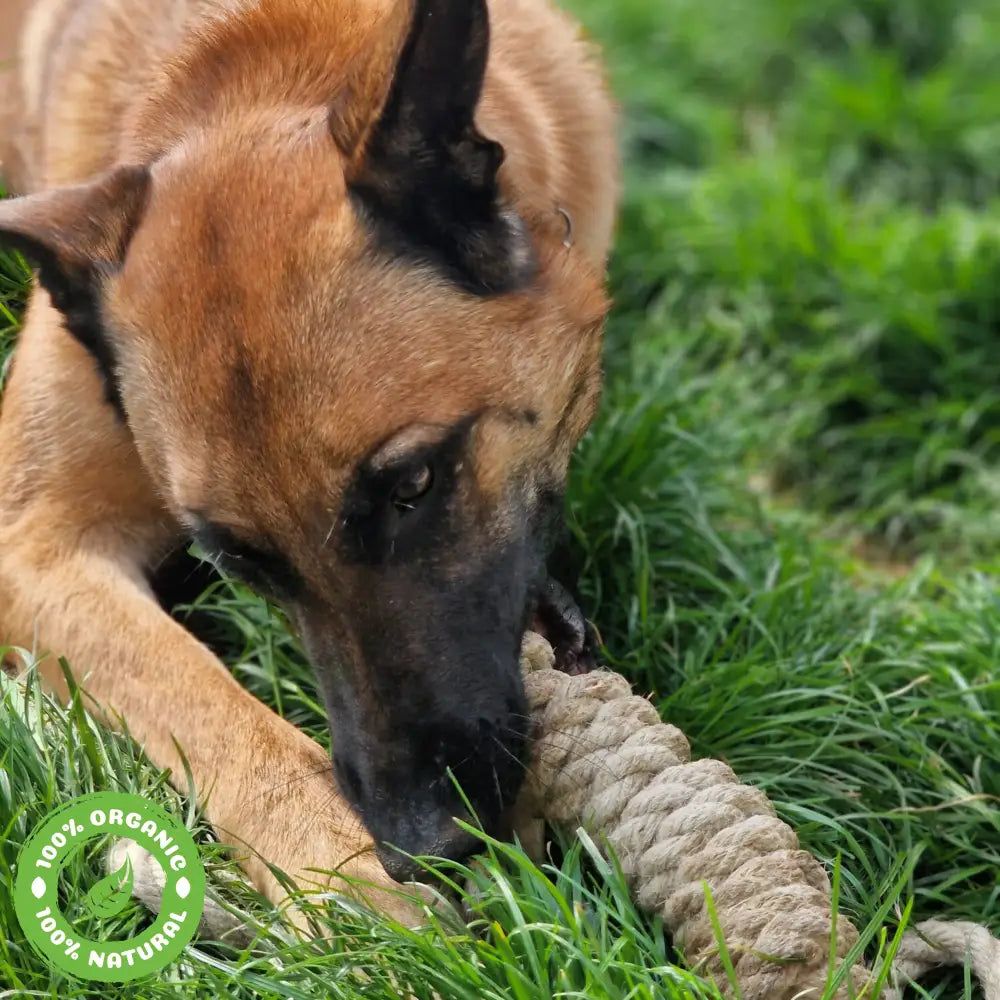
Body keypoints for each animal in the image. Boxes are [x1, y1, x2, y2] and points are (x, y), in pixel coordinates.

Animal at [0, 0, 616, 916]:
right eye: (238, 562)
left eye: (413, 483)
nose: (422, 843)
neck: (251, 63)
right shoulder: (35, 547)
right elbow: (201, 703)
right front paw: (349, 880)